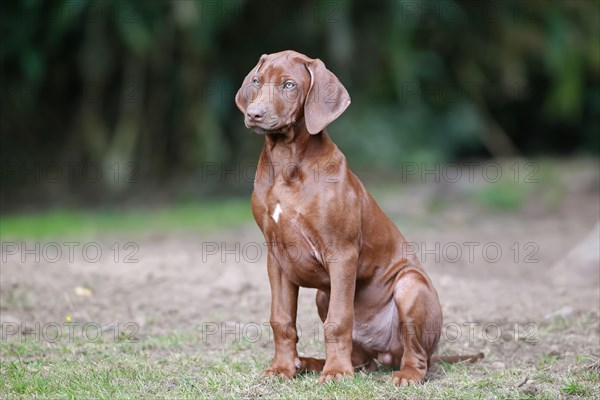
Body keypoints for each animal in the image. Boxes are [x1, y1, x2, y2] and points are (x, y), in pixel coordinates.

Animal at [234, 50, 474, 384]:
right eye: (256, 81)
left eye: (289, 85)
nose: (254, 114)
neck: (287, 160)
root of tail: (384, 353)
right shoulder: (277, 258)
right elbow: (281, 318)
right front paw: (282, 367)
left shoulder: (341, 253)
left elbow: (338, 321)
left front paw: (336, 372)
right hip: (324, 297)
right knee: (362, 359)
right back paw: (309, 362)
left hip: (409, 286)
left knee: (417, 356)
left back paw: (404, 374)